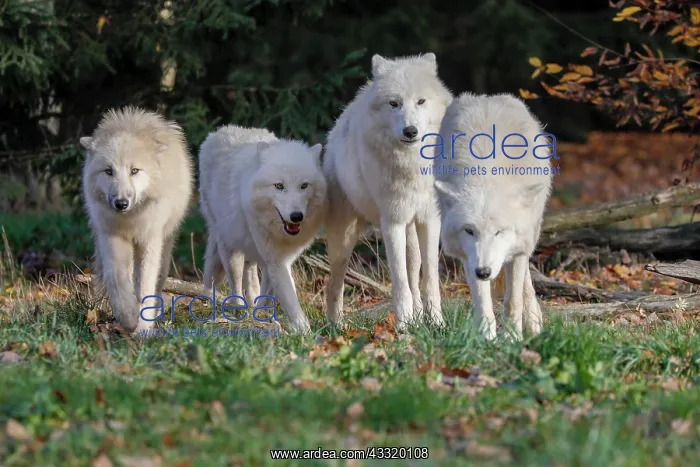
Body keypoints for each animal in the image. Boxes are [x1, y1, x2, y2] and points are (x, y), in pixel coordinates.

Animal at [80, 106, 194, 334]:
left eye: (134, 171)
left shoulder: (149, 241)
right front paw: (128, 317)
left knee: (157, 279)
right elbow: (117, 279)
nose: (121, 203)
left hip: (165, 244)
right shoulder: (113, 238)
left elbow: (145, 287)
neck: (130, 220)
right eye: (109, 171)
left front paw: (143, 328)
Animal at [198, 125, 327, 334]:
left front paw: (263, 315)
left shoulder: (279, 258)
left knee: (250, 273)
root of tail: (219, 131)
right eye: (279, 186)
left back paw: (251, 303)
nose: (296, 216)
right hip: (228, 242)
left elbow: (269, 290)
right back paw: (237, 307)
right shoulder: (276, 259)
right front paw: (304, 331)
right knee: (234, 278)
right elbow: (289, 296)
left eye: (304, 186)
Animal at [323, 53, 453, 330]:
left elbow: (429, 281)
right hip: (344, 240)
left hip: (410, 231)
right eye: (394, 104)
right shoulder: (392, 223)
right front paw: (403, 327)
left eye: (421, 101)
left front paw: (437, 324)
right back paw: (336, 326)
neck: (413, 166)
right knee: (334, 284)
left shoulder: (429, 220)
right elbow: (400, 284)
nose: (410, 131)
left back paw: (419, 318)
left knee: (414, 272)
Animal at [434, 93, 554, 340]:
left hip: (530, 233)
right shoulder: (469, 256)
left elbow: (513, 300)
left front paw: (512, 338)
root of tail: (487, 97)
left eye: (499, 232)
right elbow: (482, 302)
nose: (484, 272)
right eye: (469, 231)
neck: (487, 175)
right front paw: (486, 339)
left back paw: (533, 322)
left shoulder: (516, 251)